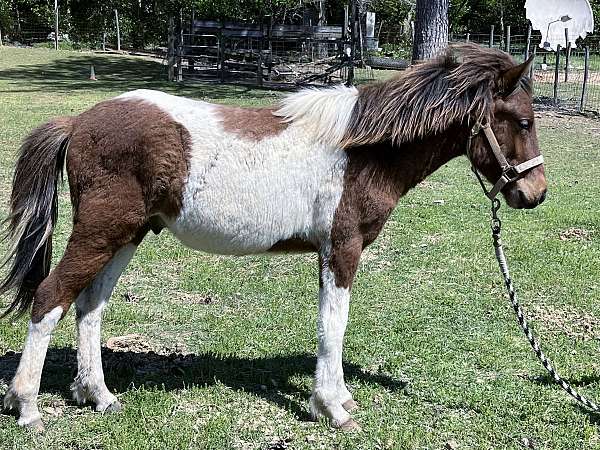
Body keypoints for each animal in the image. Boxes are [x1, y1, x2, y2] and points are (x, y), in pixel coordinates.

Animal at [1, 44, 544, 430]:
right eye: (523, 121)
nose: (534, 193)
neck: (361, 149)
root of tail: (78, 121)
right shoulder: (341, 249)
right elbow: (333, 325)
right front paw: (332, 408)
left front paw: (338, 399)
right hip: (101, 231)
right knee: (50, 298)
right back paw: (26, 407)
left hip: (127, 234)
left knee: (89, 305)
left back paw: (98, 395)